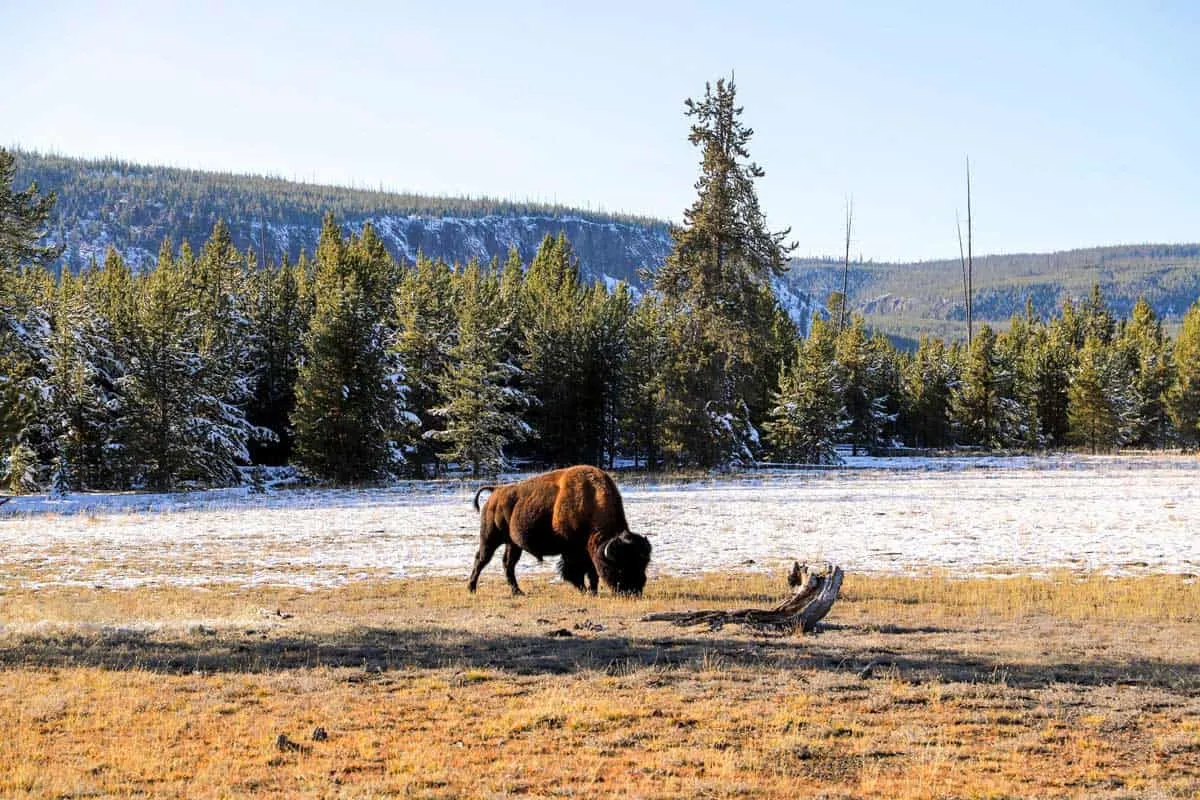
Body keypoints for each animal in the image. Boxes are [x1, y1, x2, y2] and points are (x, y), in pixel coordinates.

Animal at [470, 465, 657, 597]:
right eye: (619, 567)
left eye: (643, 565)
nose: (634, 591)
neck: (590, 503)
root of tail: (496, 492)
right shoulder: (572, 551)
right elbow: (574, 572)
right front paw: (585, 591)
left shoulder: (587, 552)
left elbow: (592, 573)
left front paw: (593, 592)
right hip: (490, 538)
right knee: (481, 559)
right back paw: (471, 588)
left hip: (513, 543)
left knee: (508, 564)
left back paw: (518, 592)